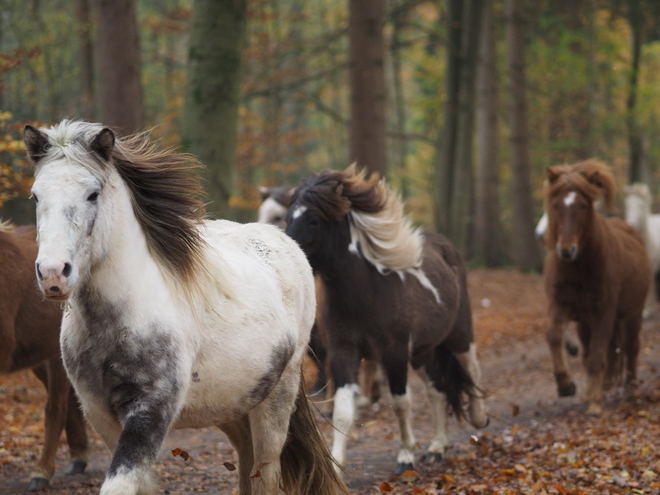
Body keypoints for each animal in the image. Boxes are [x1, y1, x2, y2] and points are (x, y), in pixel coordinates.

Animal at [24, 120, 350, 495]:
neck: (118, 320)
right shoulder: (100, 416)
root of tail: (285, 241)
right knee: (246, 459)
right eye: (36, 196)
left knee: (265, 472)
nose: (53, 274)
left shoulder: (151, 412)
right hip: (233, 403)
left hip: (277, 397)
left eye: (93, 194)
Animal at [286, 167, 488, 476]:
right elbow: (343, 411)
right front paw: (337, 464)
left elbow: (400, 403)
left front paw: (405, 456)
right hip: (422, 352)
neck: (366, 296)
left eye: (314, 219)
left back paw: (478, 419)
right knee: (436, 390)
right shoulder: (344, 352)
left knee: (471, 368)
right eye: (288, 216)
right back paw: (437, 447)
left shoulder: (394, 352)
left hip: (459, 334)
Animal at [544, 159, 652, 414]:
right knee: (590, 350)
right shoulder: (560, 306)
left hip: (633, 315)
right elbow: (554, 335)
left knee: (631, 348)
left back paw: (630, 389)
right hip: (585, 323)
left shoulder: (603, 313)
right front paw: (566, 385)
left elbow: (596, 357)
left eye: (583, 205)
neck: (578, 268)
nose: (566, 250)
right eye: (555, 205)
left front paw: (594, 404)